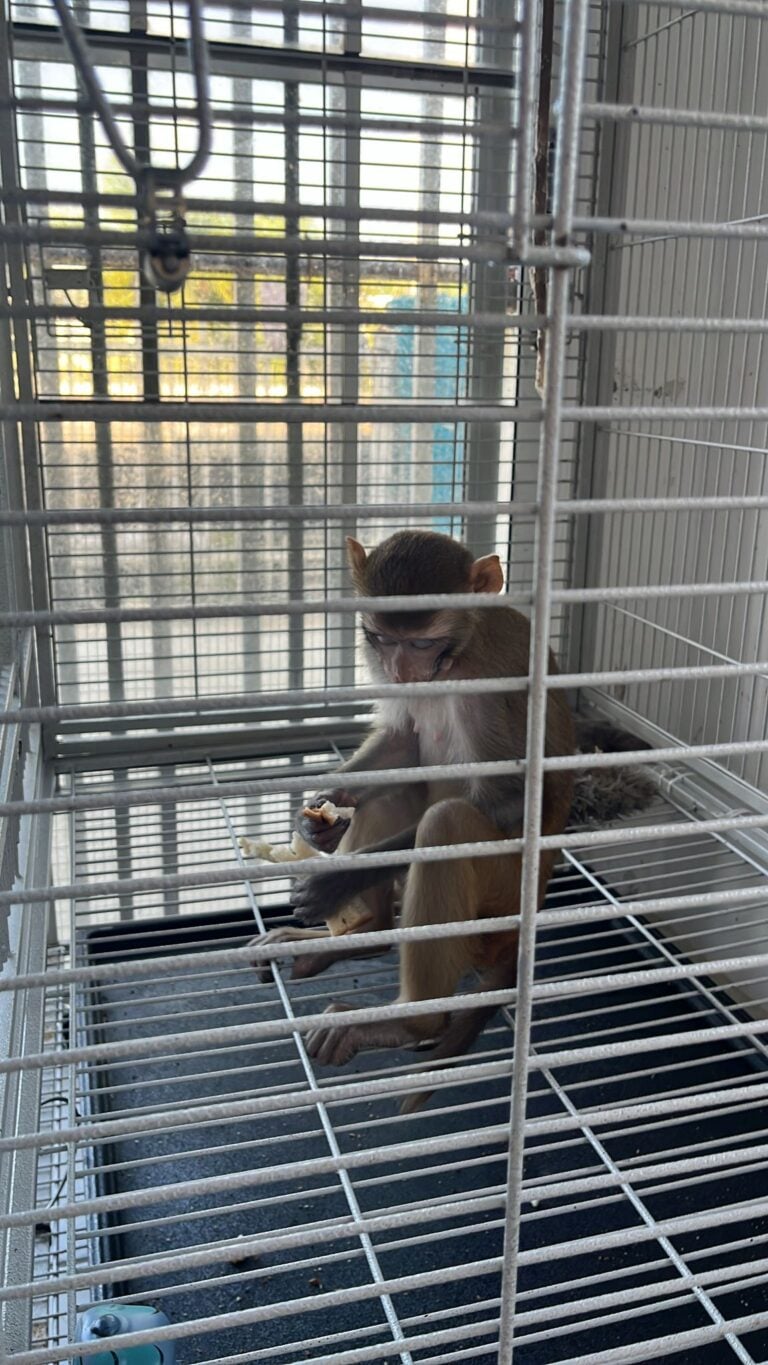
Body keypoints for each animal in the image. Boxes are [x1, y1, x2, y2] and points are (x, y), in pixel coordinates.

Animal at [252, 528, 577, 1106]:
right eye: (380, 638)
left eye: (422, 643)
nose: (402, 671)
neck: (457, 657)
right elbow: (401, 744)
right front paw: (317, 817)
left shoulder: (494, 688)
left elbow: (512, 800)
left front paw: (337, 881)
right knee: (393, 792)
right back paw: (370, 932)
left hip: (502, 897)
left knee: (446, 822)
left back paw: (411, 1022)